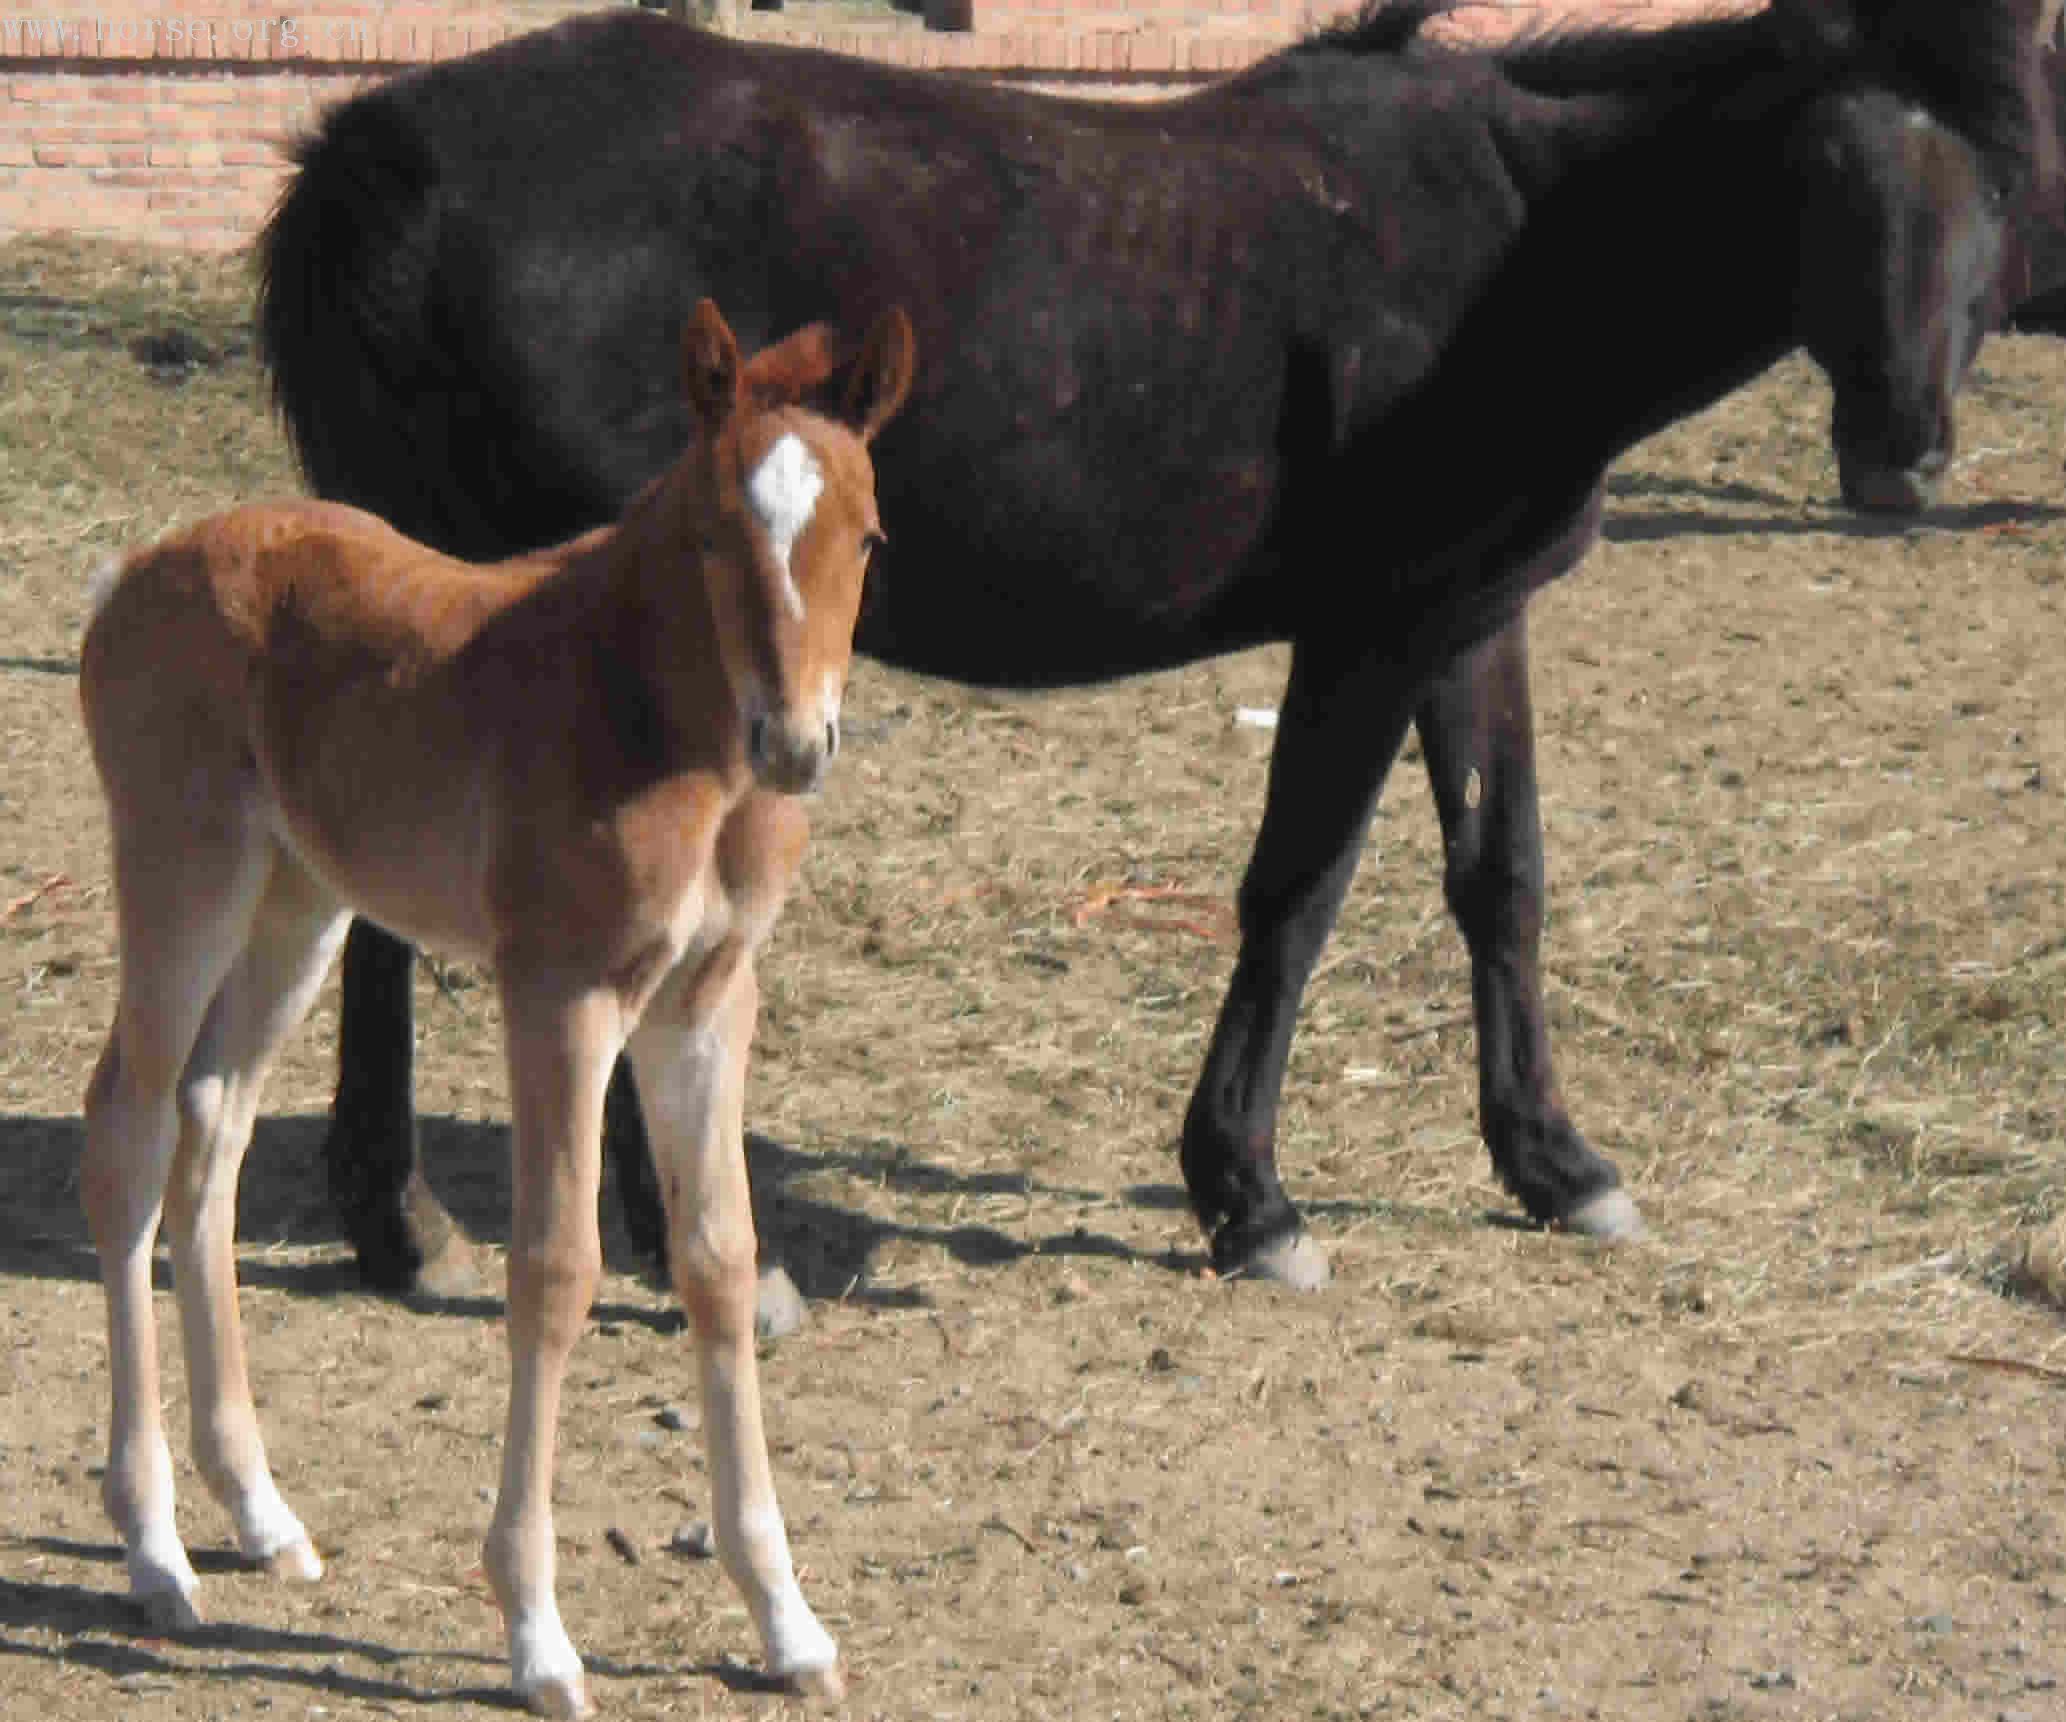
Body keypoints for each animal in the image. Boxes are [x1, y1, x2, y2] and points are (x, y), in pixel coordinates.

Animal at [76, 301, 913, 1711]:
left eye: (865, 537)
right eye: (712, 533)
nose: (796, 742)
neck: (663, 723)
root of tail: (135, 570)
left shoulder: (705, 1002)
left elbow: (719, 1260)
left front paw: (786, 1622)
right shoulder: (560, 993)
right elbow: (559, 1267)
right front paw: (536, 1634)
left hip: (300, 904)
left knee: (212, 1130)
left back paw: (258, 1513)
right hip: (185, 875)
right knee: (131, 1134)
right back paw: (153, 1553)